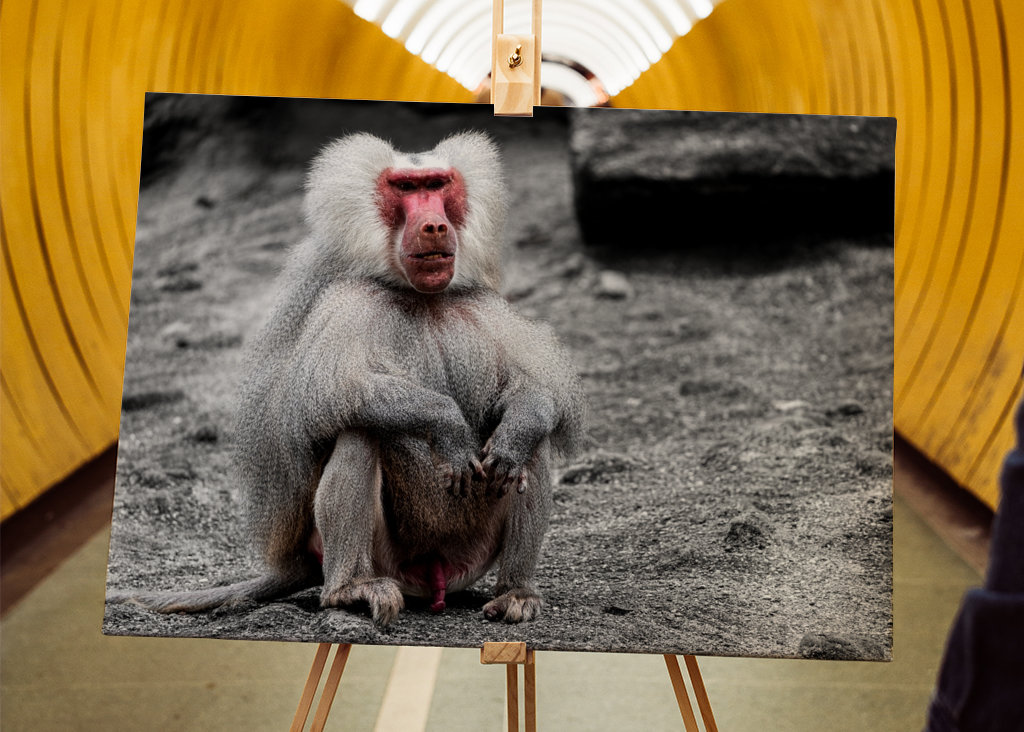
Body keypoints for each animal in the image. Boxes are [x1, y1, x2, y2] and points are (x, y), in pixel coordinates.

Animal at [108, 131, 586, 626]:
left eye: (438, 184)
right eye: (405, 188)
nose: (435, 226)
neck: (420, 295)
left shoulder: (483, 305)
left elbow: (536, 390)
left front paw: (514, 432)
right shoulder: (348, 300)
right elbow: (326, 396)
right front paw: (449, 428)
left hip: (470, 554)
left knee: (533, 445)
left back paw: (516, 592)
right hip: (388, 560)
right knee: (360, 428)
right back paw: (350, 589)